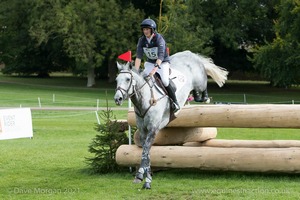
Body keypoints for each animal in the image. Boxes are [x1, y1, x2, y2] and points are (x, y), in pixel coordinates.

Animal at [114, 50, 227, 189]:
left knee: (202, 87)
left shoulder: (153, 129)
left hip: (199, 81)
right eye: (117, 80)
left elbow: (145, 150)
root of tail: (192, 54)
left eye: (128, 79)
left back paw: (205, 98)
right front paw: (147, 177)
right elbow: (147, 151)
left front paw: (140, 175)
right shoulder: (143, 131)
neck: (145, 99)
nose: (117, 99)